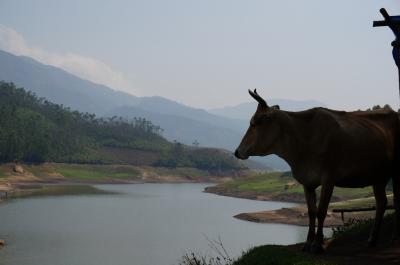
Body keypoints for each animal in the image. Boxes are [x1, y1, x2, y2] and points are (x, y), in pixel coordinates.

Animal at [234, 88, 400, 252]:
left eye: (254, 123)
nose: (237, 152)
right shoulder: (307, 181)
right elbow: (311, 212)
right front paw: (308, 242)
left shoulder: (329, 178)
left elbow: (321, 211)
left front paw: (318, 244)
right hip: (378, 177)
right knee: (381, 203)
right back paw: (372, 239)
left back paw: (393, 238)